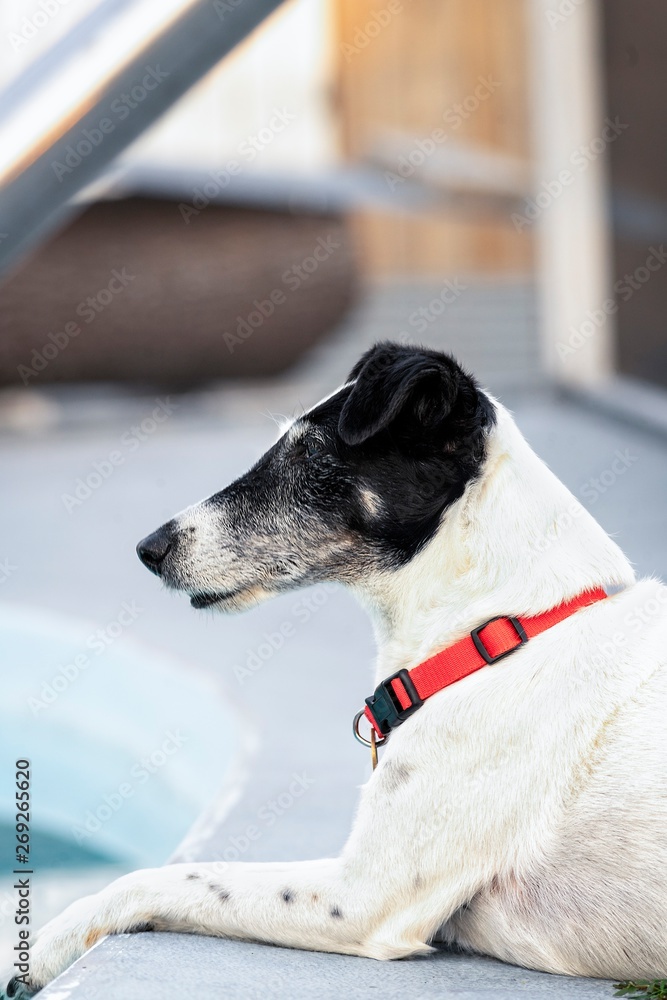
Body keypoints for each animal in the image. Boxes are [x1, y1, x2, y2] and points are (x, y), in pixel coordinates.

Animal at [6, 342, 667, 992]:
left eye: (310, 454)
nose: (149, 549)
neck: (503, 627)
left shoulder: (360, 897)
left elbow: (170, 876)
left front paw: (46, 946)